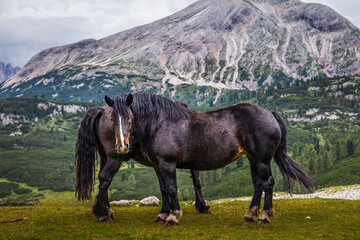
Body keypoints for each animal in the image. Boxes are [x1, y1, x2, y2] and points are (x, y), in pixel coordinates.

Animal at [75, 101, 210, 221]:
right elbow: (196, 180)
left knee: (101, 179)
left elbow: (165, 186)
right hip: (114, 158)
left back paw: (105, 210)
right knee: (105, 178)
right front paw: (202, 205)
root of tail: (102, 111)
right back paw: (103, 214)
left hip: (105, 157)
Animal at [102, 91, 312, 225]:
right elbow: (164, 189)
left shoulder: (167, 164)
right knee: (258, 184)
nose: (122, 146)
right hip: (252, 159)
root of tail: (270, 114)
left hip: (262, 160)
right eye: (112, 119)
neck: (161, 123)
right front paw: (163, 215)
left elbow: (171, 189)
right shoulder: (157, 165)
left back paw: (264, 216)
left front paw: (173, 216)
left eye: (129, 118)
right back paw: (250, 214)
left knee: (267, 183)